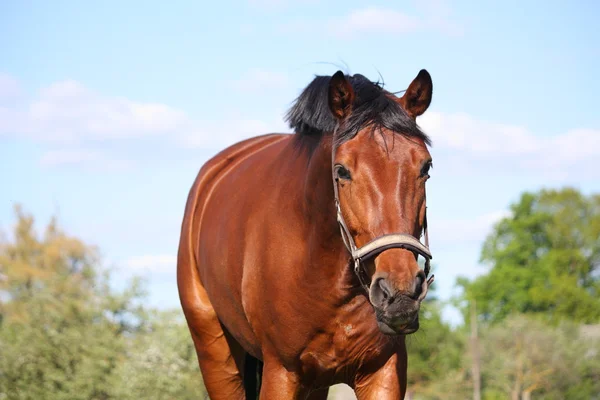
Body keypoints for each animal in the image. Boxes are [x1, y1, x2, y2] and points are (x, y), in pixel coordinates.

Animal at [178, 70, 436, 398]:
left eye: (425, 167)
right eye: (341, 171)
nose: (400, 293)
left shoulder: (383, 372)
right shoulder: (280, 373)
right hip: (215, 352)